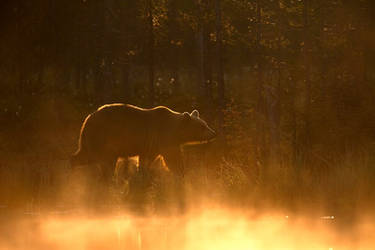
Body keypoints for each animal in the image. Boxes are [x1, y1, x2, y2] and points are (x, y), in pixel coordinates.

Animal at [71, 103, 217, 182]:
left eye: (205, 124)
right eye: (202, 127)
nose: (214, 133)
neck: (175, 130)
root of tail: (88, 119)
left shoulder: (152, 145)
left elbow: (146, 160)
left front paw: (142, 174)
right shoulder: (164, 137)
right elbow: (173, 159)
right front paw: (181, 173)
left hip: (93, 140)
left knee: (85, 155)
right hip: (103, 137)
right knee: (104, 161)